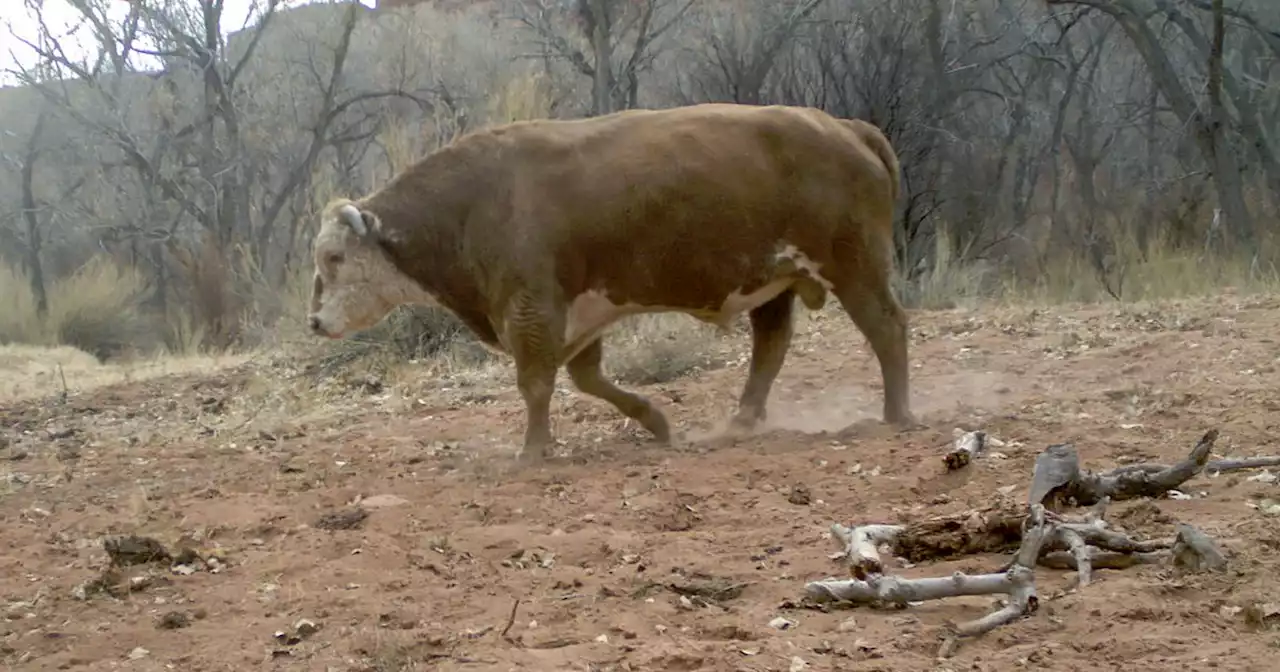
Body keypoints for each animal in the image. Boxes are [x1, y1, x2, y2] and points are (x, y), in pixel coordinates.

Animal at [307, 102, 911, 463]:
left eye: (334, 256)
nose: (315, 322)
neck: (474, 202)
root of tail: (845, 128)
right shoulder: (580, 317)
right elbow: (587, 378)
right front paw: (658, 423)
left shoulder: (532, 311)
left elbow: (536, 383)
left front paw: (532, 452)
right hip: (776, 284)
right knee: (770, 346)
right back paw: (739, 423)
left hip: (854, 268)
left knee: (887, 328)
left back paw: (897, 415)